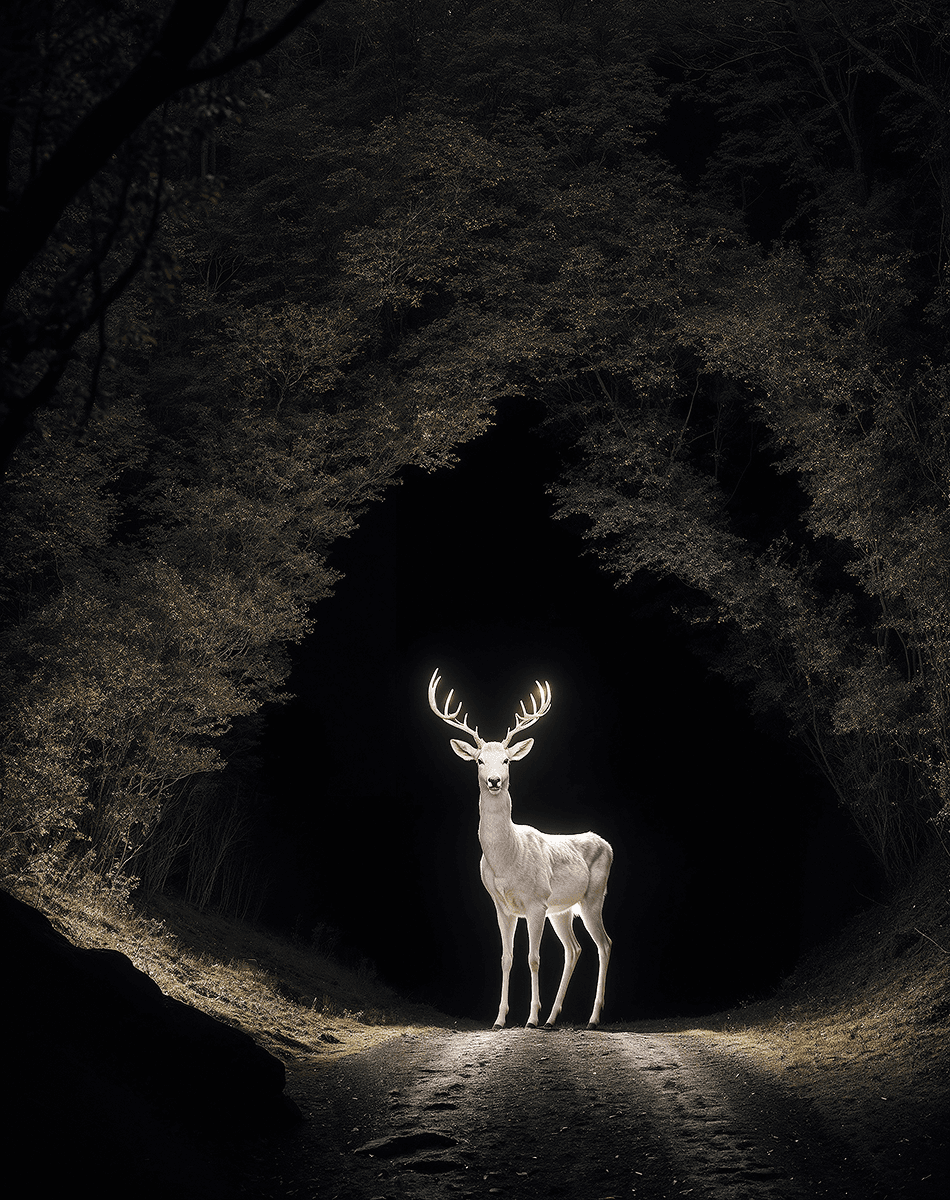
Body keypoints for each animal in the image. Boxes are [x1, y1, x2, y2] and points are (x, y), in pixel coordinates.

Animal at [428, 669, 613, 1030]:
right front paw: (499, 1018)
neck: (507, 861)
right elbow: (506, 958)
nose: (494, 780)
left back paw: (593, 1018)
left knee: (604, 944)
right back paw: (554, 1018)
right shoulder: (502, 906)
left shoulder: (536, 901)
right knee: (574, 949)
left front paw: (530, 1017)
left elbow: (534, 958)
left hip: (592, 897)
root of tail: (607, 844)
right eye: (479, 760)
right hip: (562, 910)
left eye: (507, 759)